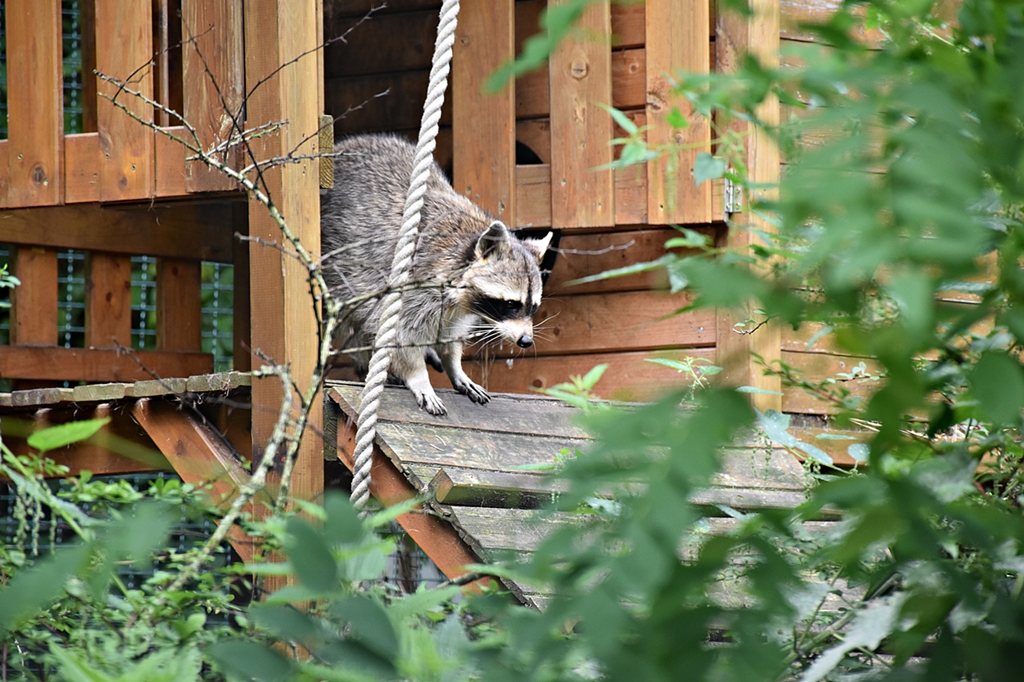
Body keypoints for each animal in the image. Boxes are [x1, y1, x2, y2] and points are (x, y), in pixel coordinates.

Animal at [321, 134, 552, 416]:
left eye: (533, 307)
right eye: (510, 304)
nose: (526, 340)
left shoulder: (455, 307)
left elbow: (449, 335)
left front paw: (455, 366)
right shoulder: (415, 284)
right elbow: (402, 335)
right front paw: (418, 376)